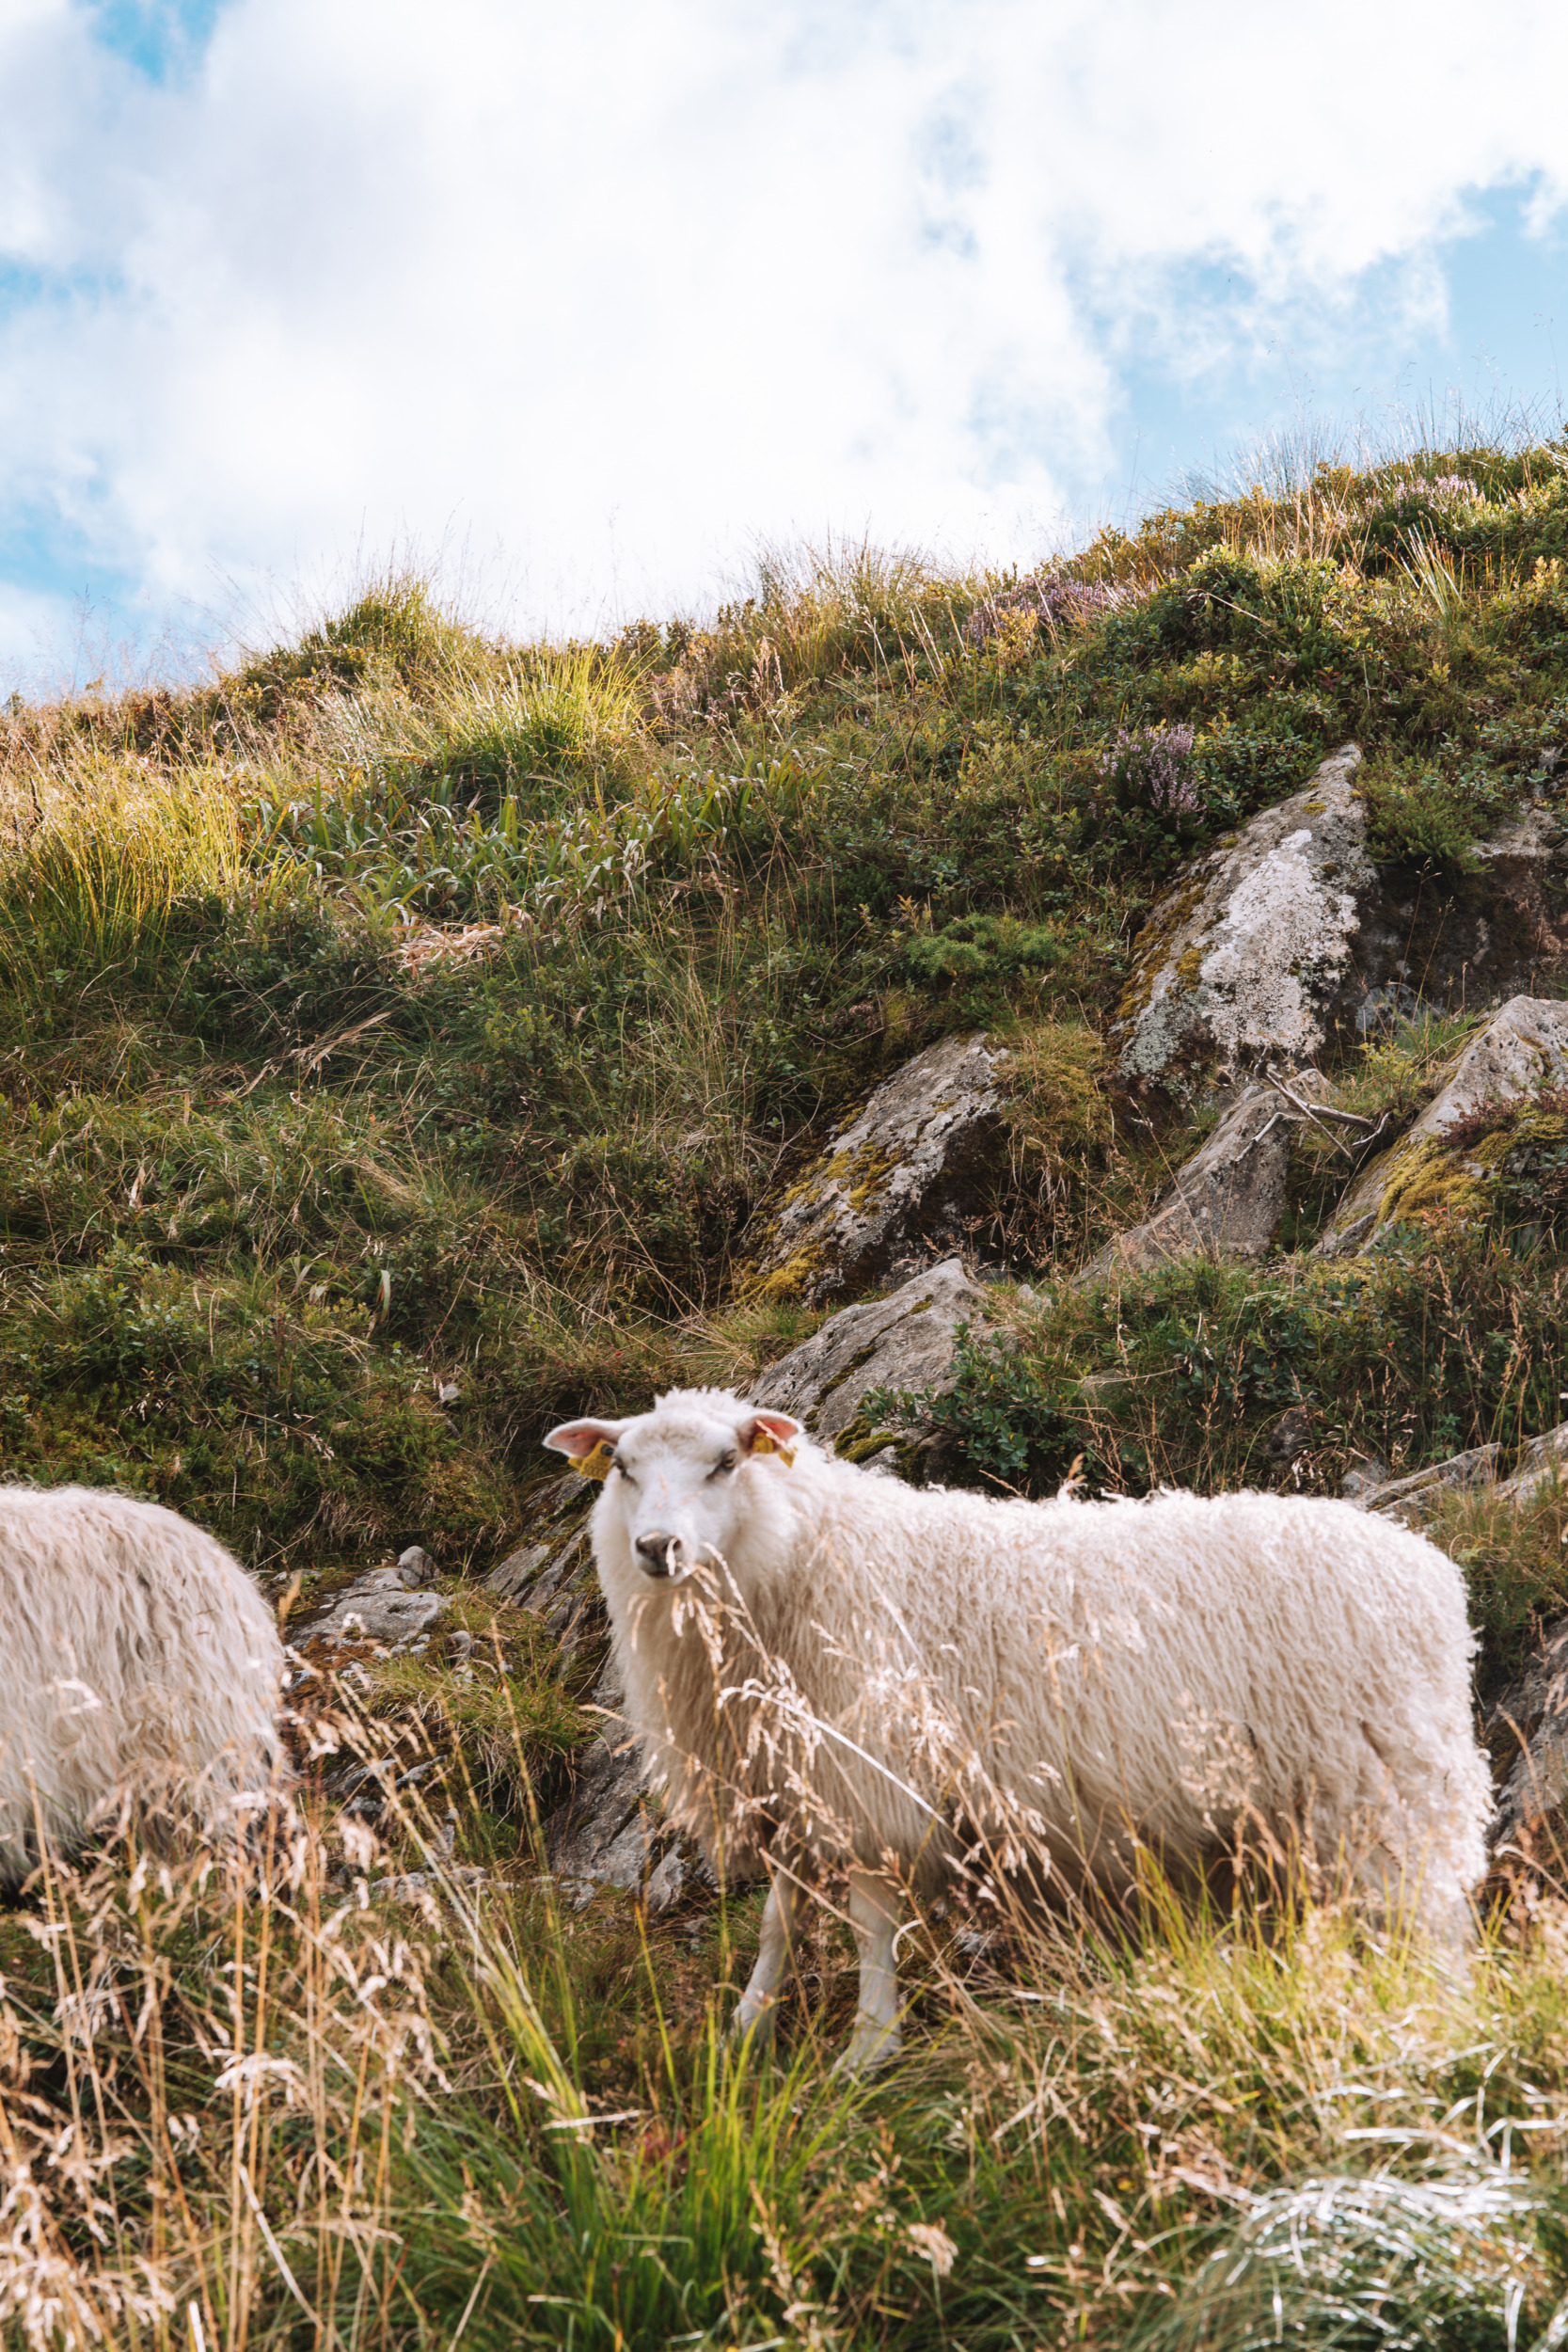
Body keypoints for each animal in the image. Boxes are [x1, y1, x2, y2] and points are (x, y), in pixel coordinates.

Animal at [549, 1383, 1495, 2070]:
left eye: (724, 1463)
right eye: (621, 1466)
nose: (657, 1549)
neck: (805, 1557)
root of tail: (1429, 1570)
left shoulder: (872, 1776)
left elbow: (869, 1922)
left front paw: (868, 2048)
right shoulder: (790, 1779)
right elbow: (780, 1919)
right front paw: (748, 2024)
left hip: (1385, 1787)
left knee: (1428, 1922)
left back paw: (1433, 2022)